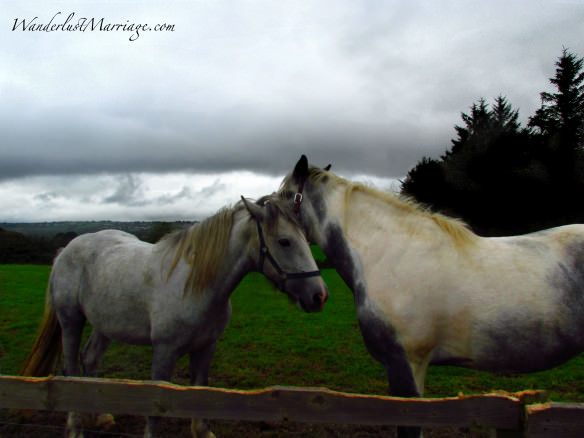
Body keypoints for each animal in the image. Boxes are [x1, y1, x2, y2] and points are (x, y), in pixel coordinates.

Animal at [19, 196, 328, 438]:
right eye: (285, 242)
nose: (319, 296)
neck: (196, 283)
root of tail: (66, 250)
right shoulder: (164, 352)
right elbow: (156, 406)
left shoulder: (206, 348)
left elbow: (201, 391)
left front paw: (202, 431)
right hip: (71, 320)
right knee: (71, 370)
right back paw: (76, 428)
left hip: (105, 325)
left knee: (90, 360)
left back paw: (101, 416)